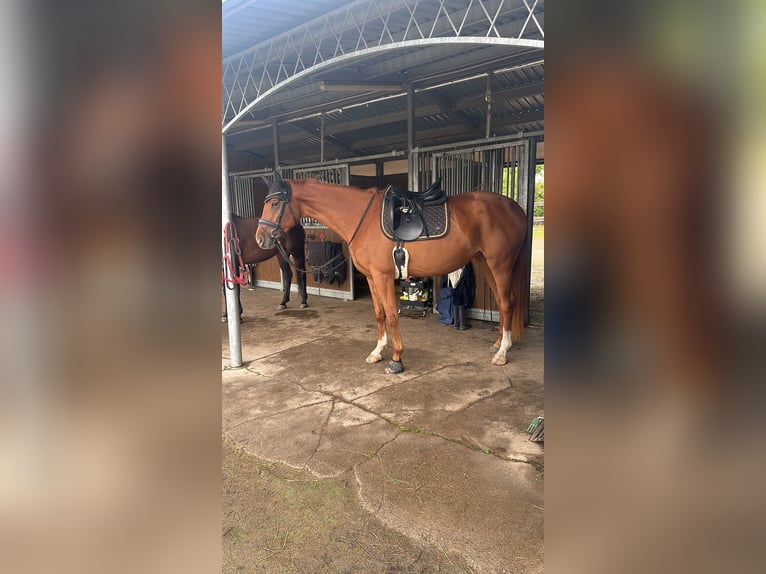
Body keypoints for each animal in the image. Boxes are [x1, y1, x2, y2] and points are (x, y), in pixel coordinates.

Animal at [255, 172, 529, 373]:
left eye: (275, 203)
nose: (261, 238)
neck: (361, 219)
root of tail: (515, 208)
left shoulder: (383, 276)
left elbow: (392, 314)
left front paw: (396, 359)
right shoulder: (371, 277)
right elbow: (379, 314)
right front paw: (377, 352)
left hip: (500, 264)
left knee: (507, 303)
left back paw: (502, 353)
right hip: (485, 263)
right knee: (502, 302)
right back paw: (497, 345)